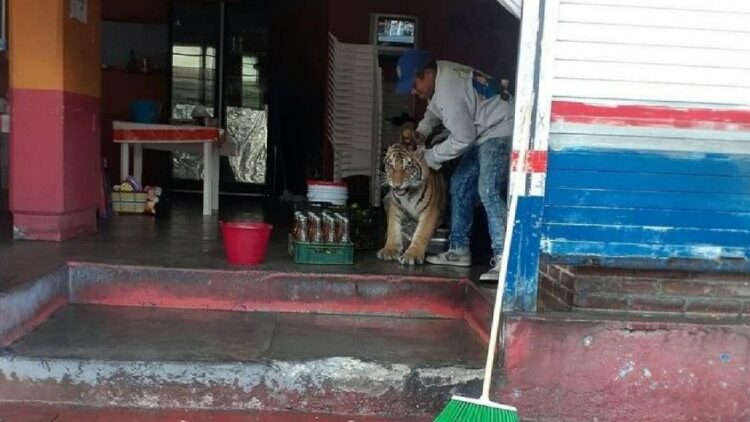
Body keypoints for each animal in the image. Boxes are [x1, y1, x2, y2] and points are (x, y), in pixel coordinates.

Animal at [377, 129, 446, 265]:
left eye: (408, 166)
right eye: (390, 165)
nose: (397, 184)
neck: (408, 196)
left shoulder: (430, 211)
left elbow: (422, 233)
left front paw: (412, 255)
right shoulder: (395, 206)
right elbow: (393, 228)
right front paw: (390, 250)